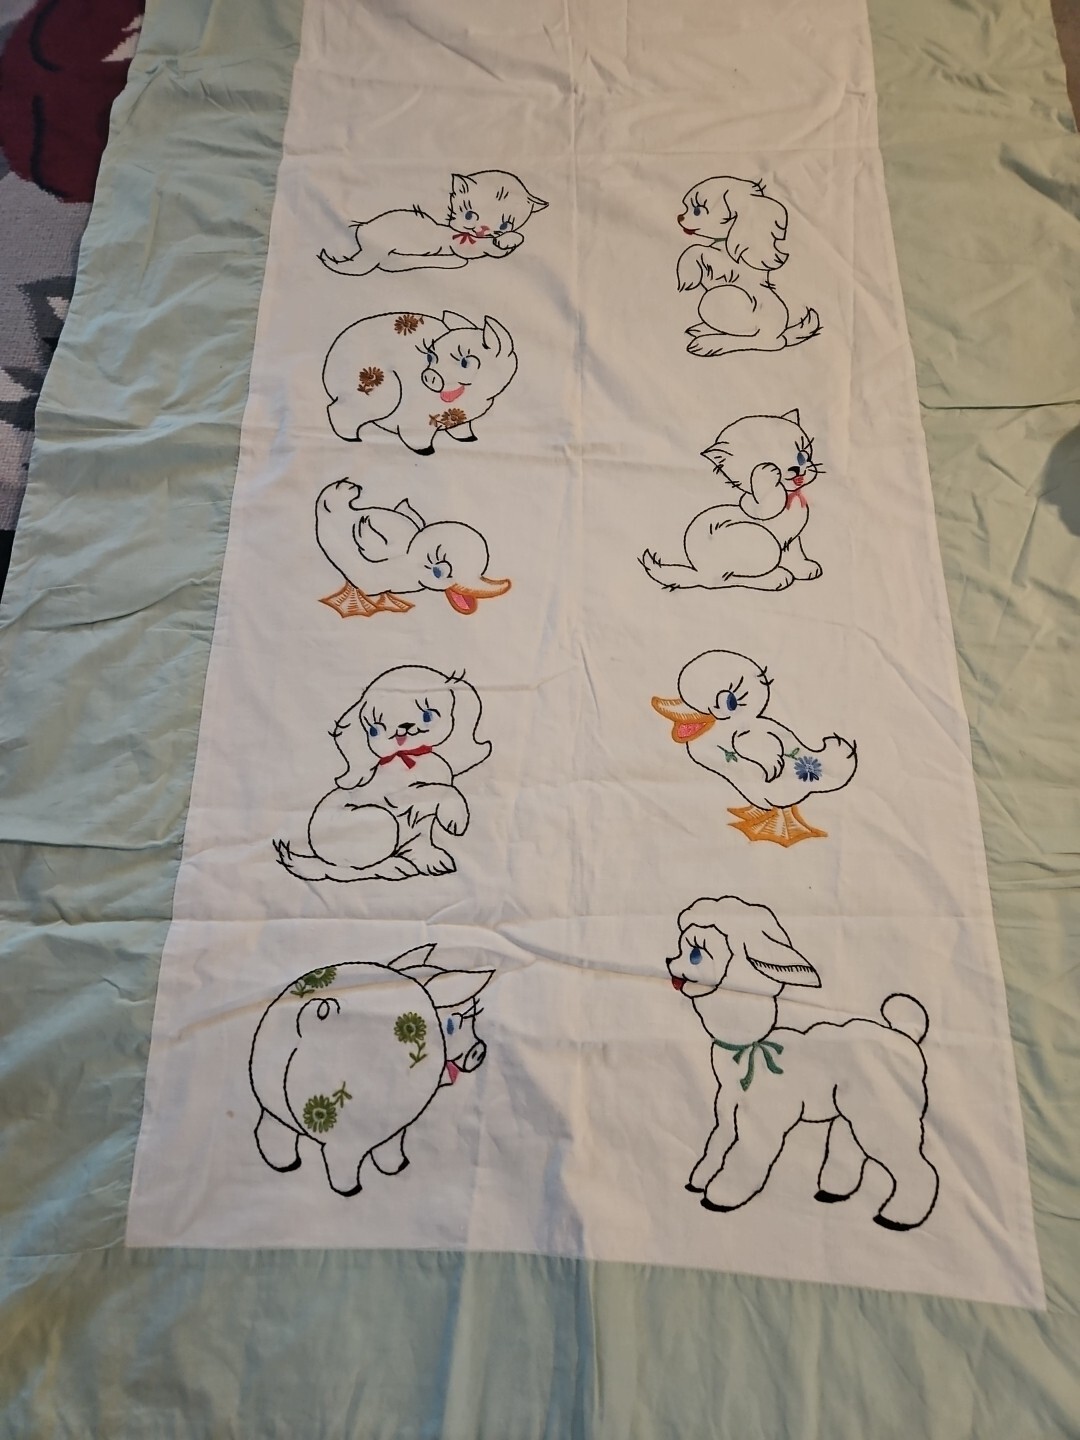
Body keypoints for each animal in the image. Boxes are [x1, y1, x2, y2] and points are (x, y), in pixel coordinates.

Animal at [249, 945, 494, 1196]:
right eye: (453, 1024)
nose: (479, 1051)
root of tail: (308, 1024)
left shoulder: (394, 1125)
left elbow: (390, 1146)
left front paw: (396, 1166)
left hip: (271, 1099)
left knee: (273, 1129)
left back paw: (283, 1162)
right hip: (341, 1133)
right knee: (339, 1158)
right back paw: (348, 1189)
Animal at [318, 171, 548, 277]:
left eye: (504, 225)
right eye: (469, 215)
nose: (483, 229)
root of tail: (363, 226)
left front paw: (510, 239)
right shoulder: (463, 246)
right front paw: (506, 241)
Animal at [321, 309, 518, 455]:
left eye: (465, 362)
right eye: (431, 357)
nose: (429, 375)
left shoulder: (460, 420)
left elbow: (462, 429)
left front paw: (468, 438)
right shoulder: (416, 420)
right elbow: (418, 437)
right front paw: (426, 451)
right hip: (378, 391)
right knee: (338, 409)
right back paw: (351, 438)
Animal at [641, 411, 824, 592]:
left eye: (801, 456)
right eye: (771, 464)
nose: (796, 469)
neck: (791, 496)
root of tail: (701, 572)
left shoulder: (792, 539)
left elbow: (794, 552)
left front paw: (802, 567)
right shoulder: (756, 507)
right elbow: (763, 505)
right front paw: (767, 472)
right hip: (761, 539)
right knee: (726, 579)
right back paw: (774, 578)